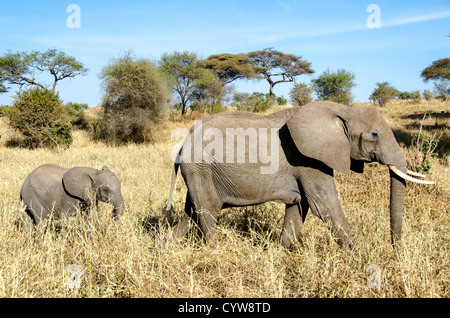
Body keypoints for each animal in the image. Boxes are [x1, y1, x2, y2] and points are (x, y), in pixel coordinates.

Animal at [163, 100, 432, 250]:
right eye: (374, 135)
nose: (396, 253)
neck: (343, 111)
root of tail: (184, 142)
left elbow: (299, 206)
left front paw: (282, 253)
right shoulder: (307, 159)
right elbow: (324, 206)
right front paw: (357, 258)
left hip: (198, 171)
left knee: (191, 213)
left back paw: (167, 247)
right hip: (200, 167)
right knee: (207, 212)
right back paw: (215, 252)